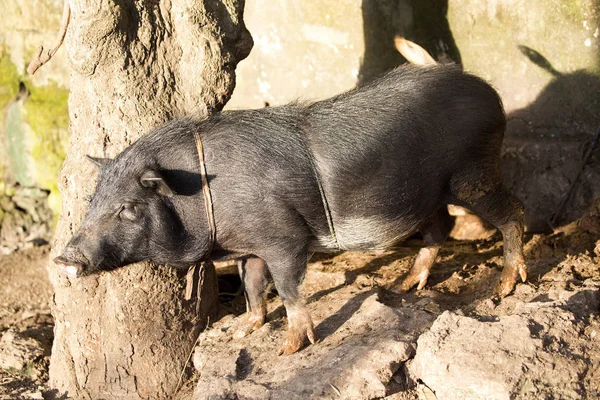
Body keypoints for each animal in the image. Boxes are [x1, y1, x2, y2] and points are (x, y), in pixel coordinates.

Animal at [55, 65, 524, 354]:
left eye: (128, 208)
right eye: (93, 200)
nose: (63, 257)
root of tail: (490, 93)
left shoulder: (284, 239)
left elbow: (287, 288)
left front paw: (290, 347)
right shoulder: (247, 247)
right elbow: (252, 287)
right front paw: (240, 330)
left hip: (473, 173)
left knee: (513, 212)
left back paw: (505, 287)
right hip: (427, 193)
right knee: (438, 229)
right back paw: (408, 285)